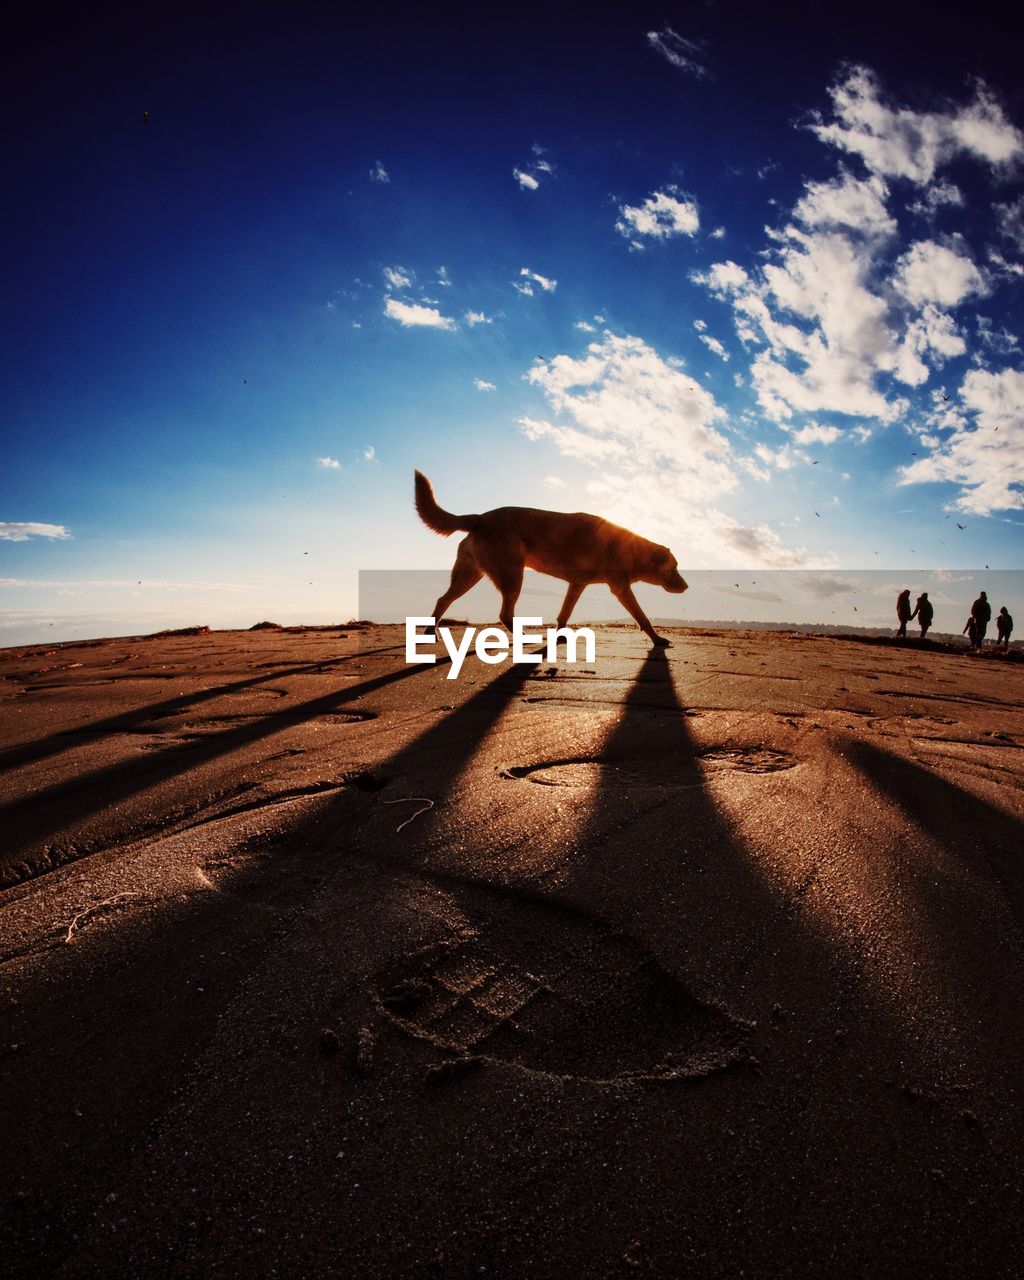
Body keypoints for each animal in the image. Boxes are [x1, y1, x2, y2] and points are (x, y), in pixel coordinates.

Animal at [409, 471, 686, 645]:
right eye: (674, 568)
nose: (686, 586)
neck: (633, 549)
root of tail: (479, 517)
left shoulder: (577, 584)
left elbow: (564, 613)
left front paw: (559, 636)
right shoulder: (620, 587)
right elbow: (642, 616)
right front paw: (657, 639)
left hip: (469, 575)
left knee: (443, 599)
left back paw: (430, 631)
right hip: (512, 575)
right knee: (504, 613)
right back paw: (522, 638)